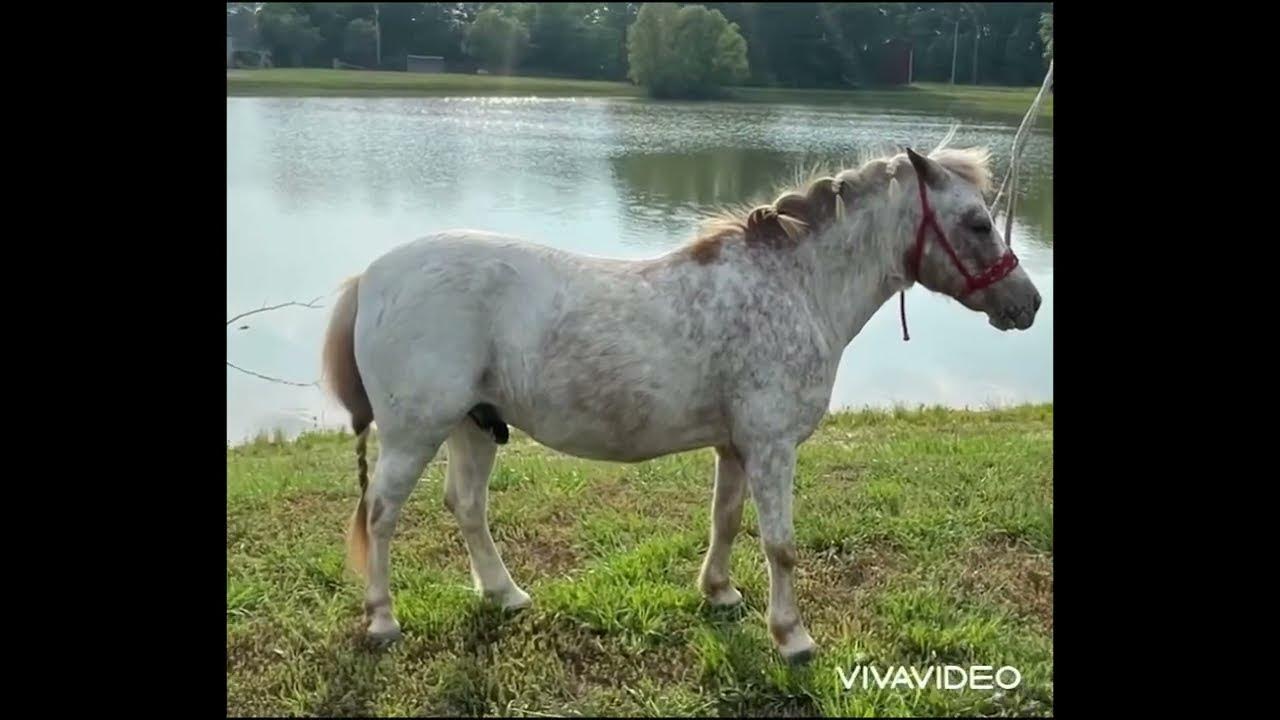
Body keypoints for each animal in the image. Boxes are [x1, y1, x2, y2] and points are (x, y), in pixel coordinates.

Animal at [320, 136, 1042, 663]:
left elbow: (725, 520)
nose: (1029, 303)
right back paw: (382, 620)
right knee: (380, 515)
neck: (793, 286)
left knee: (466, 507)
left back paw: (506, 594)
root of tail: (373, 276)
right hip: (415, 433)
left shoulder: (737, 445)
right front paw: (792, 637)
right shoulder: (773, 447)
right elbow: (780, 542)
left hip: (474, 425)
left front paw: (719, 593)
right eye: (977, 222)